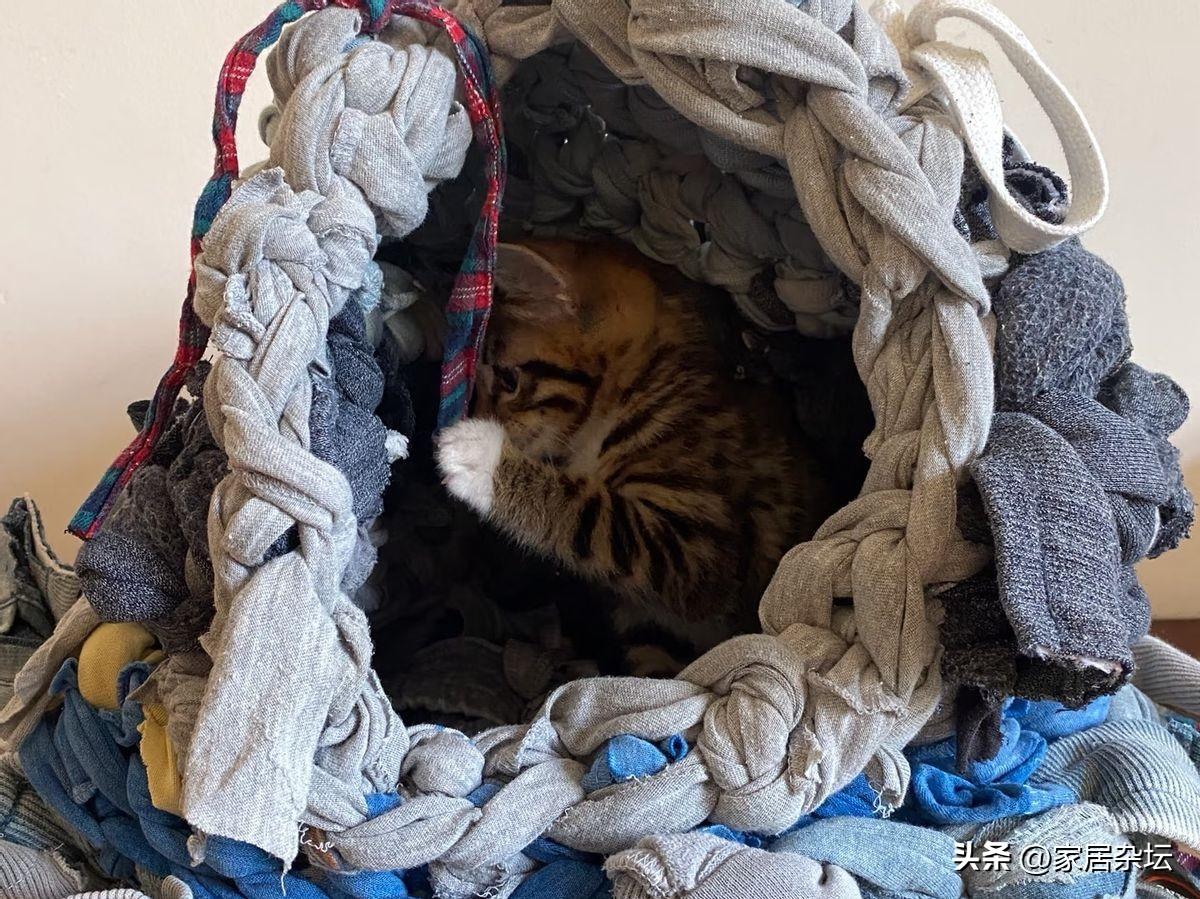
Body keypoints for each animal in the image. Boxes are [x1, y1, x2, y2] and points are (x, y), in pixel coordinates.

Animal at [436, 238, 829, 676]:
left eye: (508, 379)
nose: (475, 416)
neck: (644, 382)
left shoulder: (704, 549)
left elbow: (591, 513)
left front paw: (481, 457)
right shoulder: (654, 615)